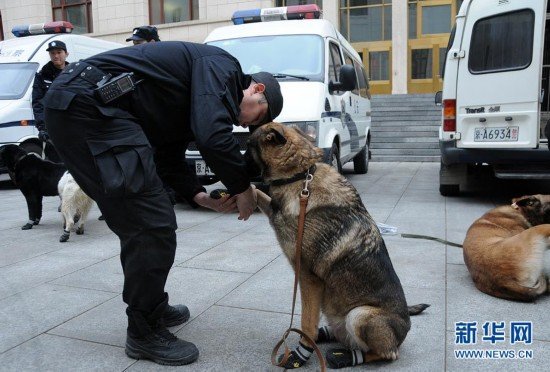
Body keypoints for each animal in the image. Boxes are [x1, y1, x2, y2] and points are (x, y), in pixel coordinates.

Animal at [246, 123, 432, 368]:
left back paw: (348, 356)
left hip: (359, 315)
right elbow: (258, 193)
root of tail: (406, 324)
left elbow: (306, 323)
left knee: (386, 353)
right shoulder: (274, 208)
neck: (300, 176)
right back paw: (327, 335)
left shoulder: (308, 280)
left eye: (247, 145)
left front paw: (301, 354)